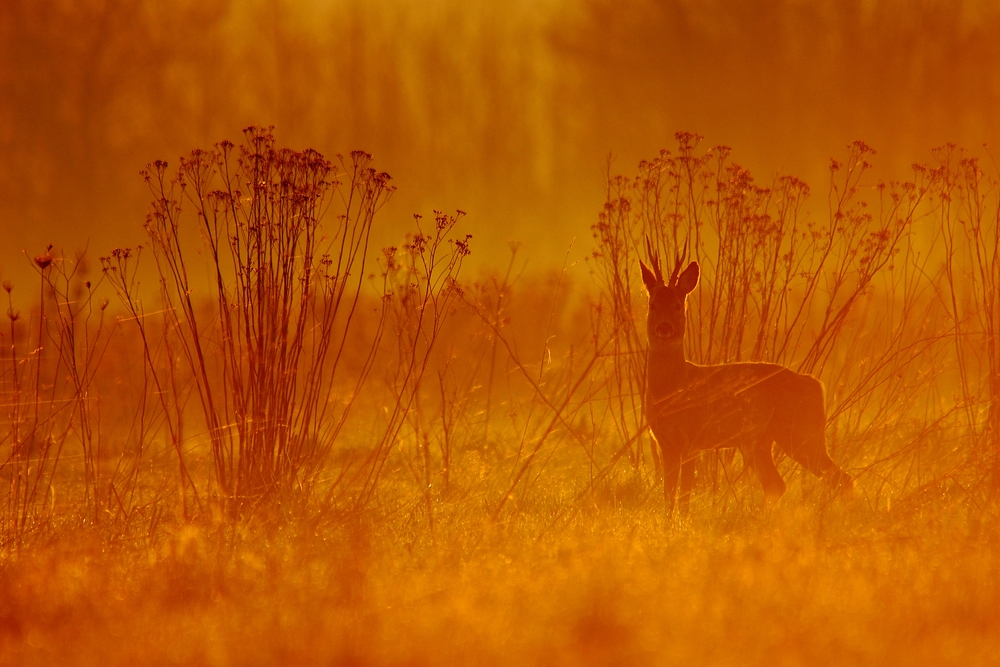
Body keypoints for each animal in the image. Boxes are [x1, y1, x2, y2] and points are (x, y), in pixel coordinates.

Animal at [640, 245, 852, 516]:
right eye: (653, 304)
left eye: (678, 306)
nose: (664, 328)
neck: (674, 387)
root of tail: (817, 385)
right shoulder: (667, 445)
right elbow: (669, 496)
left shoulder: (691, 441)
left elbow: (684, 496)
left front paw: (681, 521)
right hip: (760, 440)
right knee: (777, 484)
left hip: (799, 432)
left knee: (839, 477)